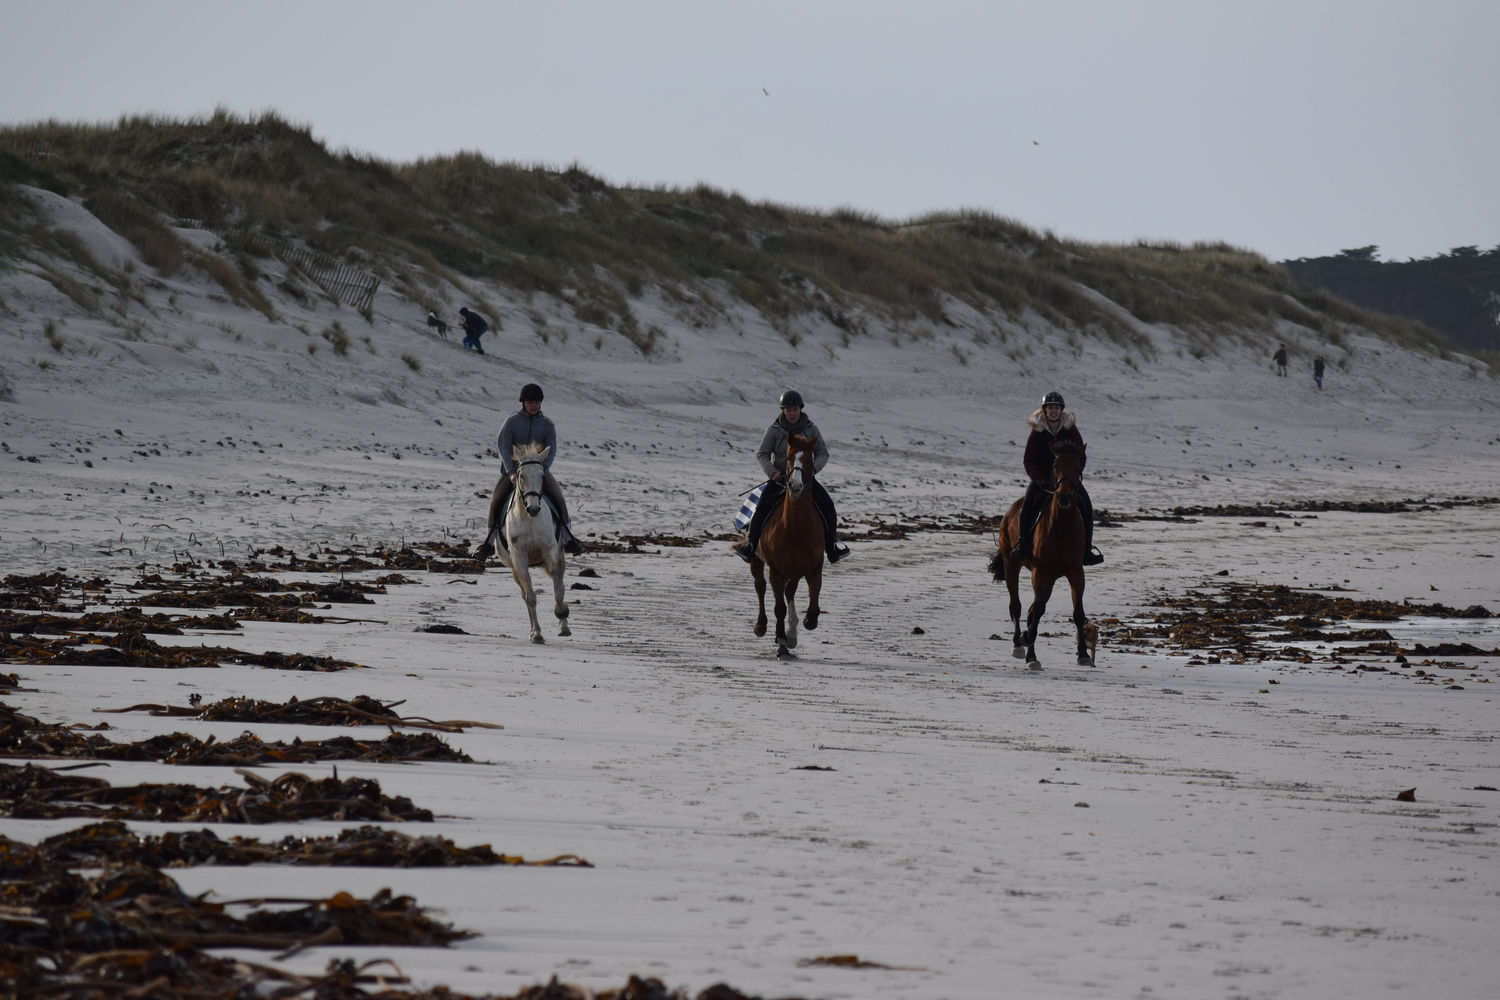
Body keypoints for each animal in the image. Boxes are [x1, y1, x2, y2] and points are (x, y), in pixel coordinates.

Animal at [477, 440, 570, 644]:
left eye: (542, 476)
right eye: (521, 476)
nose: (534, 508)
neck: (530, 519)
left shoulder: (550, 553)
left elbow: (558, 589)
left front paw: (561, 615)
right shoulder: (519, 559)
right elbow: (531, 597)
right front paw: (536, 634)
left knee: (558, 583)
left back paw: (564, 624)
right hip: (514, 568)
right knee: (525, 595)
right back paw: (533, 630)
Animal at [756, 434, 828, 659]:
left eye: (810, 461)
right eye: (788, 458)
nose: (794, 486)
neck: (794, 528)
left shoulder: (812, 567)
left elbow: (813, 600)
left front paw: (806, 623)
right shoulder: (776, 570)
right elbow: (779, 607)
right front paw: (781, 641)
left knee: (789, 591)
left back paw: (793, 633)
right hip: (755, 560)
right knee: (760, 586)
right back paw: (761, 626)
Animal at [984, 440, 1092, 668]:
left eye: (1078, 466)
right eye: (1055, 466)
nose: (1064, 496)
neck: (1062, 528)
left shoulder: (1076, 572)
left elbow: (1077, 612)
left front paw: (1083, 654)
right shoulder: (1040, 572)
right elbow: (1038, 609)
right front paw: (1029, 646)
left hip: (1050, 577)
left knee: (1032, 608)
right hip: (1012, 565)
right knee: (1016, 605)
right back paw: (1019, 645)